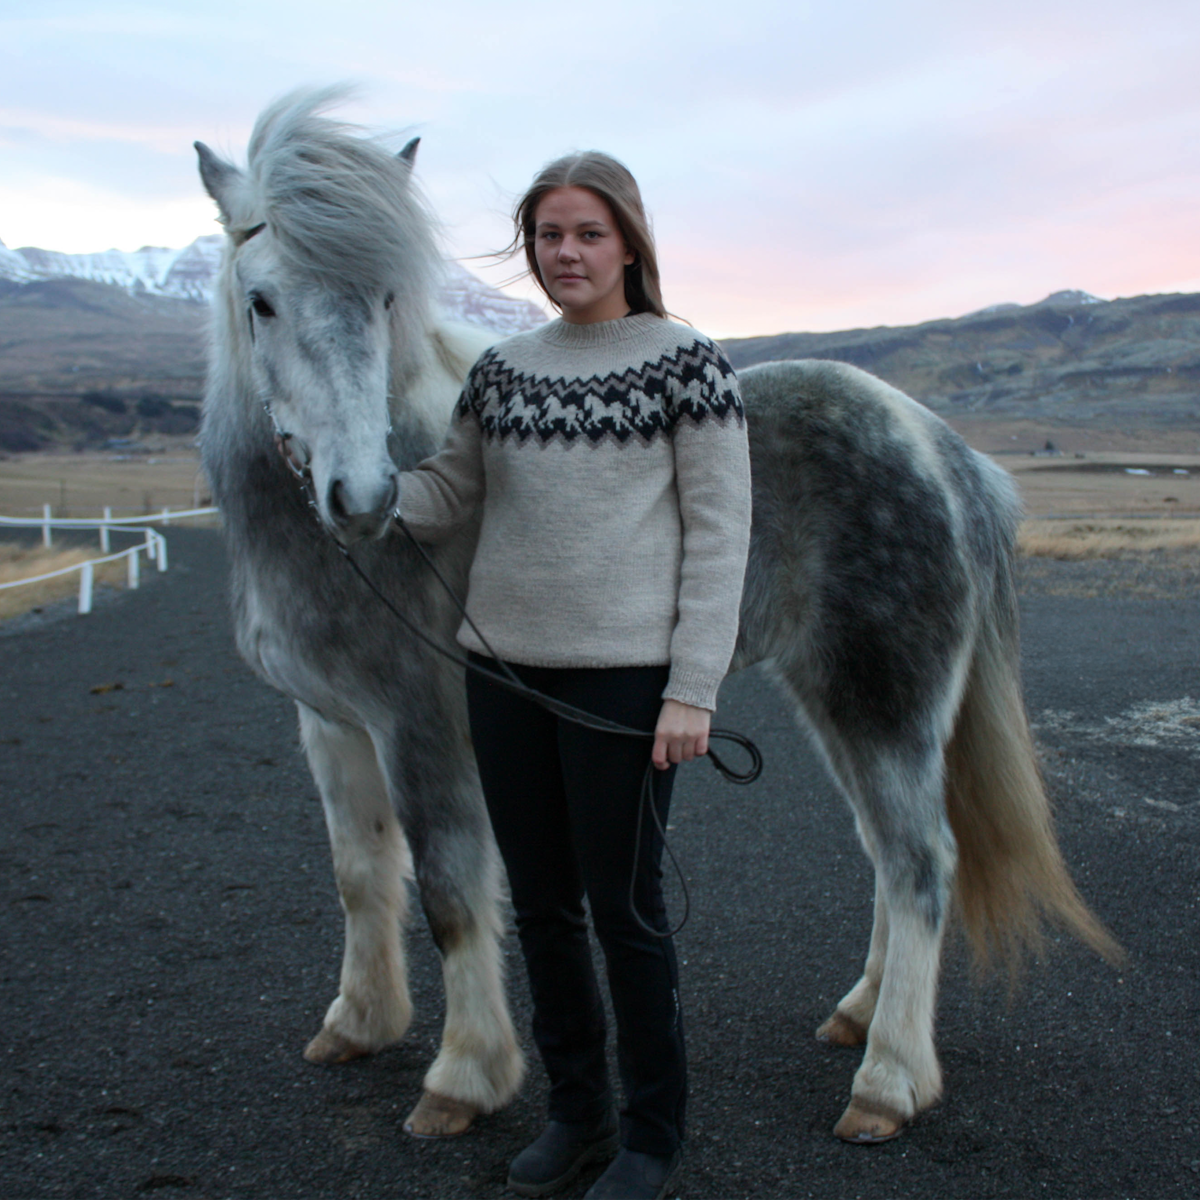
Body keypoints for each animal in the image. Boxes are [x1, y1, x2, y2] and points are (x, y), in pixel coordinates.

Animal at [195, 89, 1120, 1146]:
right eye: (262, 300)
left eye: (385, 300)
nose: (363, 495)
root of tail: (945, 450)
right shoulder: (332, 722)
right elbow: (359, 874)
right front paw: (358, 1023)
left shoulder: (421, 730)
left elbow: (450, 893)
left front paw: (462, 1077)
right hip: (836, 700)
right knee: (890, 856)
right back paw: (860, 1016)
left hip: (885, 702)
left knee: (924, 863)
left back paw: (887, 1082)